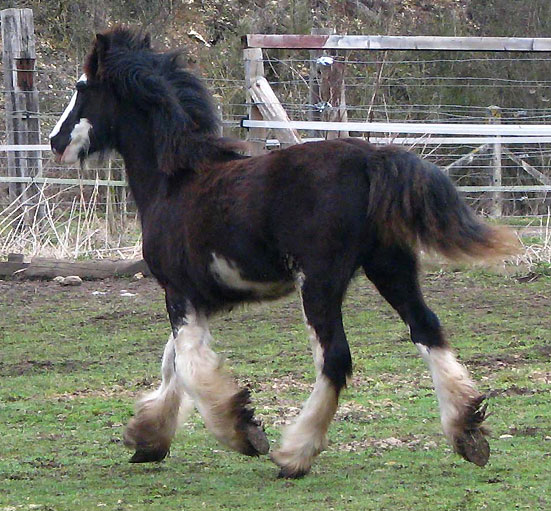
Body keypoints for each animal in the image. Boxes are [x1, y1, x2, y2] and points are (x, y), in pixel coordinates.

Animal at [49, 28, 520, 478]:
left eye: (81, 88)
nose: (55, 142)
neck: (175, 182)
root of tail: (370, 157)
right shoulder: (205, 299)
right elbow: (173, 362)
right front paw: (147, 437)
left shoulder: (178, 292)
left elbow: (190, 366)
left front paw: (242, 431)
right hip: (390, 267)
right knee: (427, 329)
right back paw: (467, 434)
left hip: (320, 282)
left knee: (336, 358)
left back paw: (294, 454)